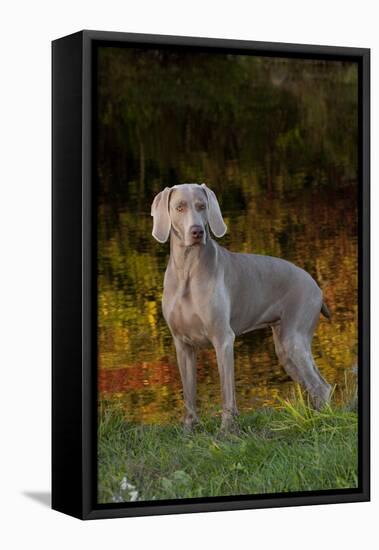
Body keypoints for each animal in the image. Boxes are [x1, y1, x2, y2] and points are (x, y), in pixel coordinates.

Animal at [151, 183, 332, 434]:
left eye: (202, 206)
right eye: (179, 207)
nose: (197, 231)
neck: (187, 269)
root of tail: (315, 284)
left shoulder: (223, 339)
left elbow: (227, 392)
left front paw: (227, 431)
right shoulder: (182, 344)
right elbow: (188, 394)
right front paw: (188, 430)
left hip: (294, 339)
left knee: (321, 387)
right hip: (285, 349)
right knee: (313, 387)